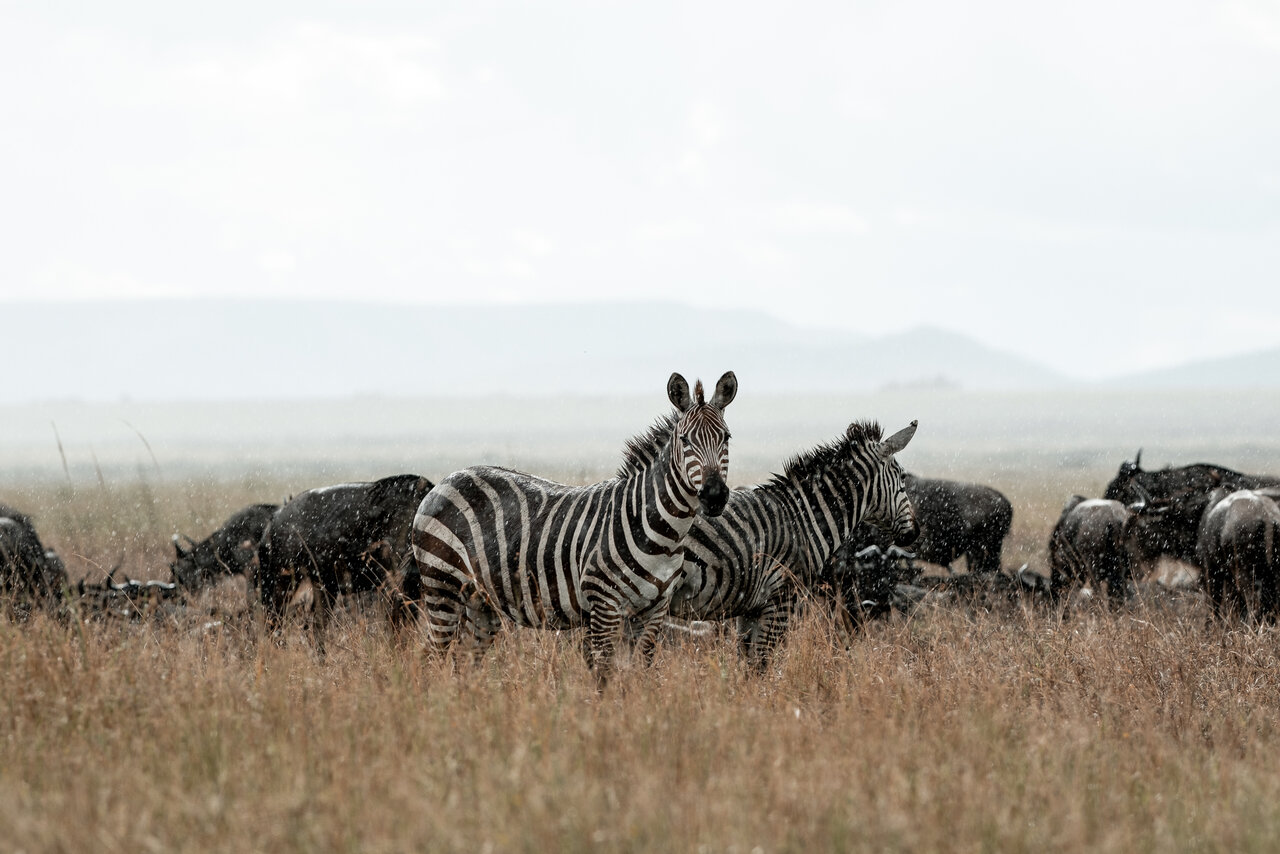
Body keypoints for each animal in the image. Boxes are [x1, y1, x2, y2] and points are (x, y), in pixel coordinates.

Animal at [410, 371, 737, 680]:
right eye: (685, 440)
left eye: (727, 438)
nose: (714, 495)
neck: (663, 534)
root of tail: (446, 479)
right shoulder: (604, 605)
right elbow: (605, 674)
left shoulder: (653, 611)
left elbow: (638, 673)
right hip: (442, 585)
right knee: (430, 657)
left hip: (481, 602)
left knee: (463, 663)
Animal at [664, 419, 919, 664]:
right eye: (903, 477)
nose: (915, 532)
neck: (802, 517)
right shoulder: (781, 600)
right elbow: (761, 663)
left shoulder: (750, 607)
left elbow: (745, 663)